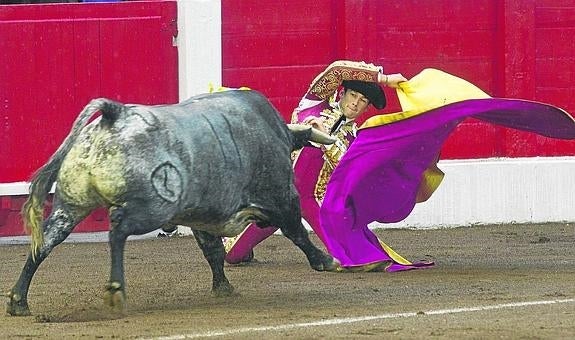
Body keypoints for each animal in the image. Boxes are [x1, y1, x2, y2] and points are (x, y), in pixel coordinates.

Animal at [5, 89, 338, 316]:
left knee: (45, 242)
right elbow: (295, 231)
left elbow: (213, 252)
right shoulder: (282, 196)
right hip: (151, 209)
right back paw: (115, 290)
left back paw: (18, 300)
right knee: (118, 229)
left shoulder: (203, 216)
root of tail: (116, 114)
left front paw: (223, 288)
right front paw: (325, 260)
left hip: (69, 206)